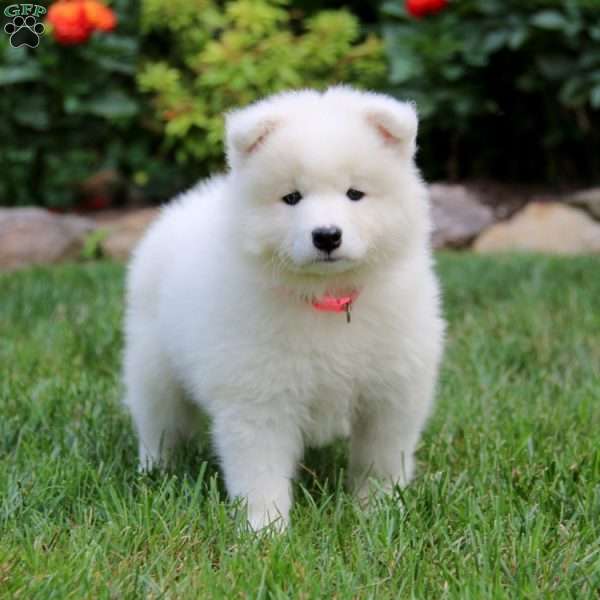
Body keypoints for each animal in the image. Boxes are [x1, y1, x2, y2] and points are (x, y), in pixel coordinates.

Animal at [123, 85, 446, 528]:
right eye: (291, 198)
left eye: (355, 194)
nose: (326, 235)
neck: (325, 298)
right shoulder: (257, 395)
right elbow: (260, 470)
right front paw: (265, 528)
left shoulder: (393, 391)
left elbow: (380, 458)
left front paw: (377, 513)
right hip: (154, 365)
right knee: (159, 422)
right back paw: (155, 472)